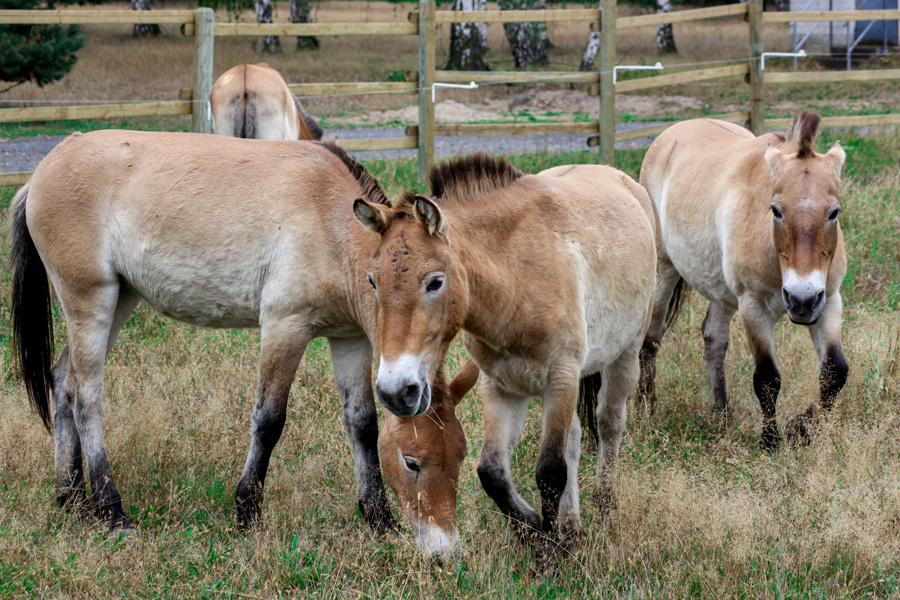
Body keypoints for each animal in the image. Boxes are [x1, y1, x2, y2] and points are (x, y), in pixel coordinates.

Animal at [9, 129, 398, 532]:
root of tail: (41, 173)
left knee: (60, 381)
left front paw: (380, 518)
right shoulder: (285, 327)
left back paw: (72, 499)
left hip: (119, 300)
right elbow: (269, 420)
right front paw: (248, 511)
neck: (329, 218)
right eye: (376, 281)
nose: (404, 391)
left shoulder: (349, 339)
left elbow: (362, 423)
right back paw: (111, 509)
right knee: (84, 396)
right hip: (91, 302)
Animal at [636, 111, 848, 450]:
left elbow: (834, 373)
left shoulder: (827, 301)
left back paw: (721, 413)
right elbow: (767, 378)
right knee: (651, 340)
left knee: (714, 339)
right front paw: (771, 441)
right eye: (775, 210)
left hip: (721, 291)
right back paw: (646, 409)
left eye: (834, 212)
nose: (800, 300)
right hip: (664, 270)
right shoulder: (754, 307)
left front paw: (801, 428)